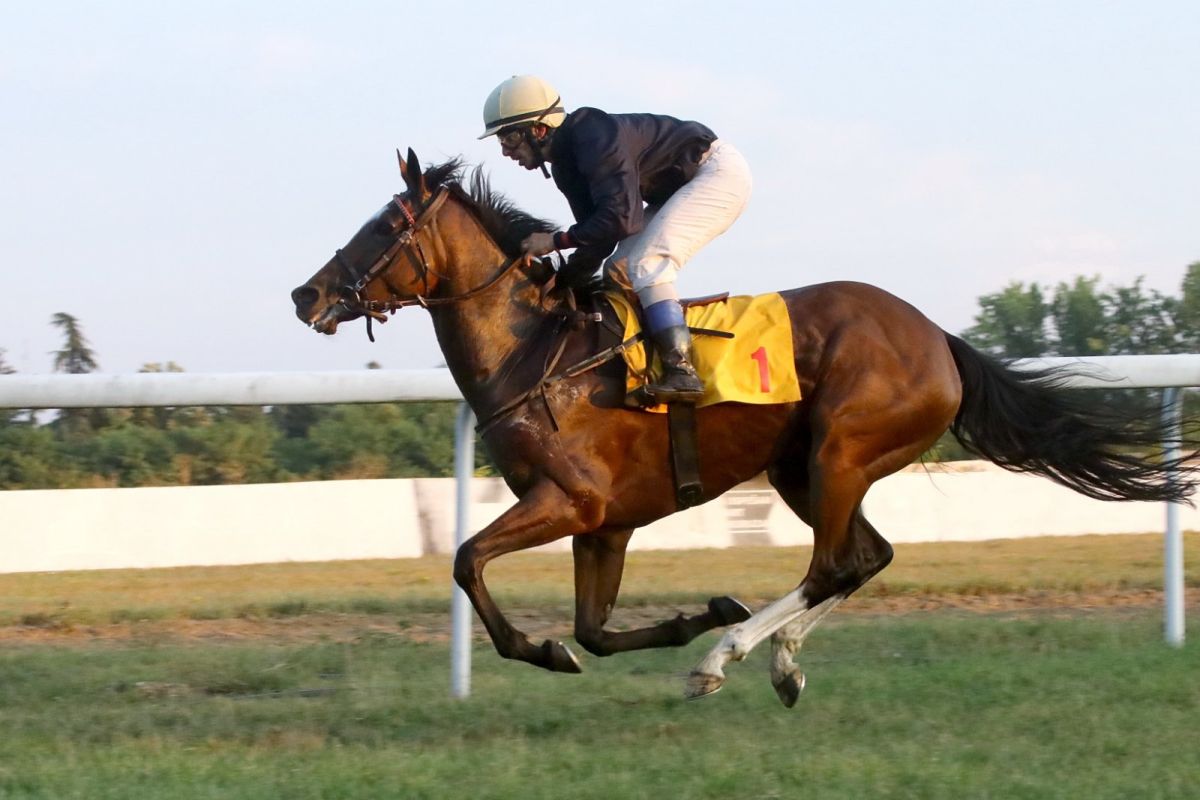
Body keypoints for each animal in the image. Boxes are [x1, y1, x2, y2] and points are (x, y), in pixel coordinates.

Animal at [292, 149, 1200, 705]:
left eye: (385, 226)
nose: (308, 294)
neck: (535, 351)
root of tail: (938, 337)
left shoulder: (573, 503)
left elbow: (467, 560)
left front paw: (549, 648)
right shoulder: (606, 523)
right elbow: (595, 628)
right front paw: (687, 616)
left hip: (841, 448)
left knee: (833, 563)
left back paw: (723, 661)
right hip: (805, 466)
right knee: (865, 558)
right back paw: (779, 660)